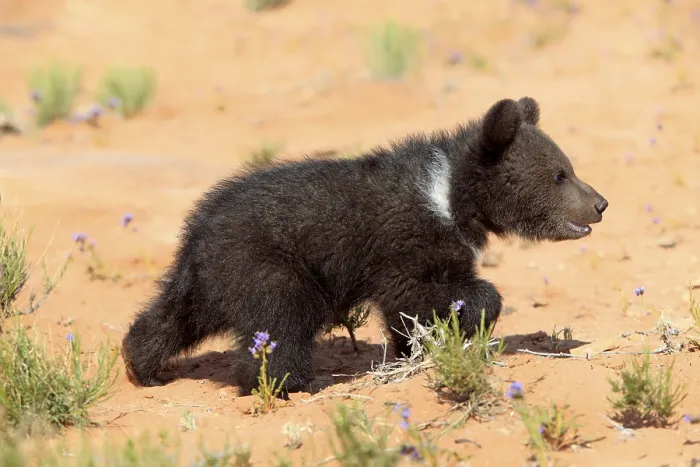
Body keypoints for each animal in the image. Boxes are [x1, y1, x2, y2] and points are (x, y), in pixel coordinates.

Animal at [120, 96, 608, 396]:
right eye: (560, 174)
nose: (601, 204)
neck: (452, 196)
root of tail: (198, 229)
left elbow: (410, 310)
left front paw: (417, 348)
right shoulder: (406, 241)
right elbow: (418, 292)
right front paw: (472, 318)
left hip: (214, 277)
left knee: (173, 316)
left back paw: (142, 366)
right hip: (267, 264)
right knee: (282, 317)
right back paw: (293, 382)